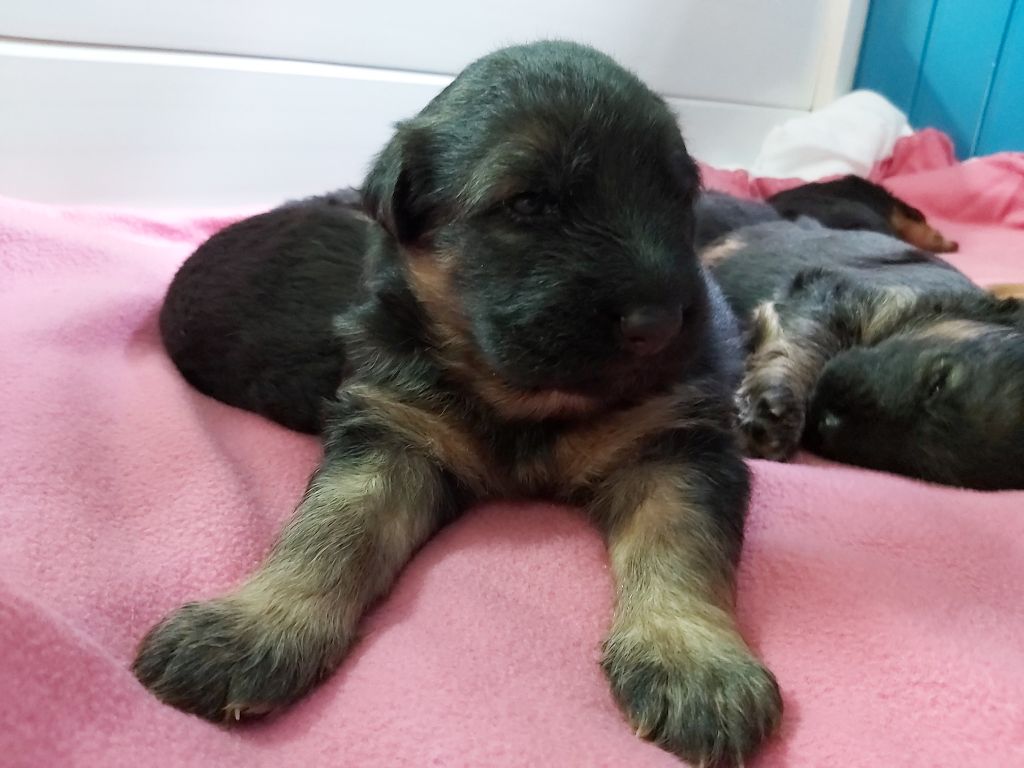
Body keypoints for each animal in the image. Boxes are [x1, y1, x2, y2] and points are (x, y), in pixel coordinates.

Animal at [136, 43, 778, 768]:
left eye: (678, 195)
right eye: (528, 203)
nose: (661, 324)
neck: (520, 395)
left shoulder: (675, 448)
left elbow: (681, 546)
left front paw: (693, 660)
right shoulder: (392, 432)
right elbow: (329, 531)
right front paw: (250, 627)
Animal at [696, 192, 1024, 493]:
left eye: (918, 466)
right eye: (938, 382)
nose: (824, 418)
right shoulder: (836, 294)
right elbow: (806, 344)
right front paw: (775, 409)